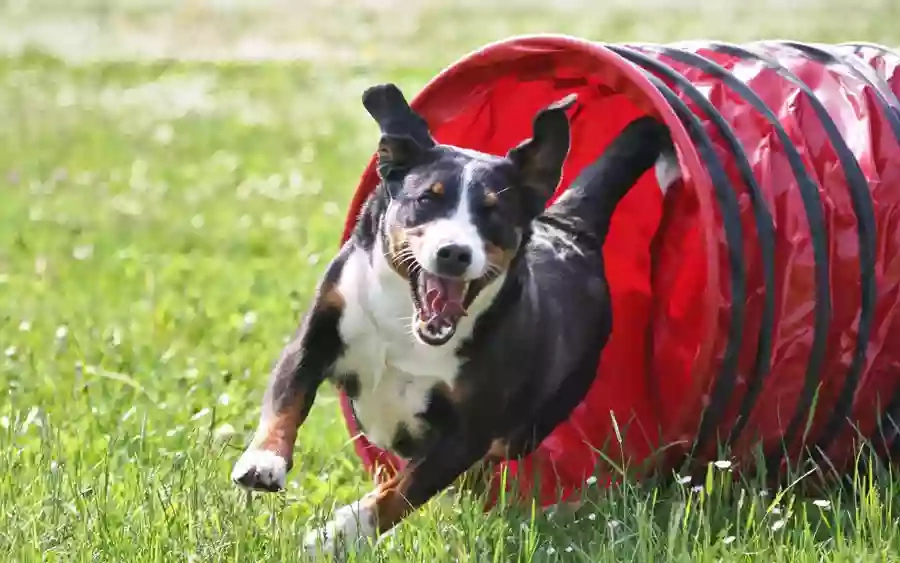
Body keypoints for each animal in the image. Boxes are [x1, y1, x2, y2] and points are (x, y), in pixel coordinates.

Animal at [229, 81, 680, 556]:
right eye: (428, 198)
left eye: (493, 211)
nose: (454, 253)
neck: (406, 326)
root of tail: (570, 228)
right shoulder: (316, 337)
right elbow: (287, 399)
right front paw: (263, 461)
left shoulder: (468, 431)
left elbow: (402, 492)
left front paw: (339, 534)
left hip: (529, 424)